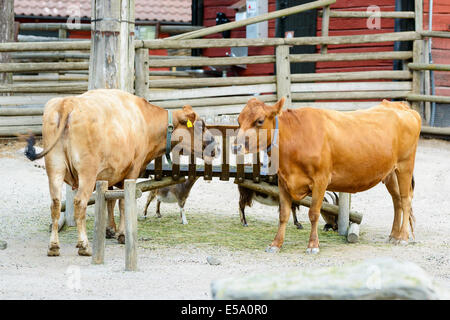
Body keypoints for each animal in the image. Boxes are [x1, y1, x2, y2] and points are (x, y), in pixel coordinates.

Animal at [236, 96, 422, 254]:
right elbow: (283, 214)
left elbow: (313, 213)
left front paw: (313, 245)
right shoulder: (284, 181)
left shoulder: (321, 180)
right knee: (397, 201)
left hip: (405, 166)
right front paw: (276, 244)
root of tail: (400, 106)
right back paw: (393, 235)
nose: (236, 146)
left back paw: (402, 237)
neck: (296, 138)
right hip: (390, 173)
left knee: (405, 200)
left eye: (259, 121)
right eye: (238, 120)